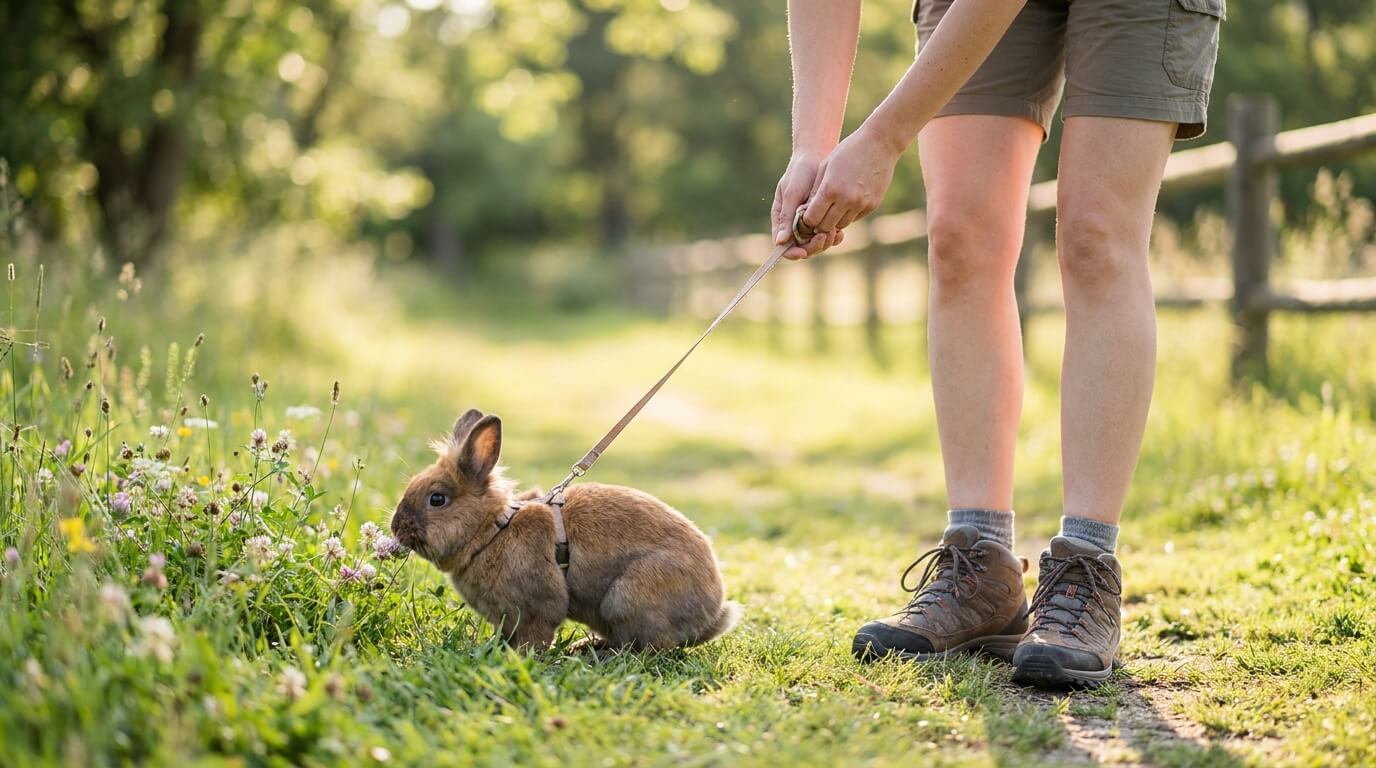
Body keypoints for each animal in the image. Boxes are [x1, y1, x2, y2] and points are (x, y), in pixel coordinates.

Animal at [390, 408, 743, 651]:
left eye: (437, 499)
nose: (396, 527)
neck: (492, 531)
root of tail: (713, 615)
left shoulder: (535, 611)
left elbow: (535, 637)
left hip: (626, 598)